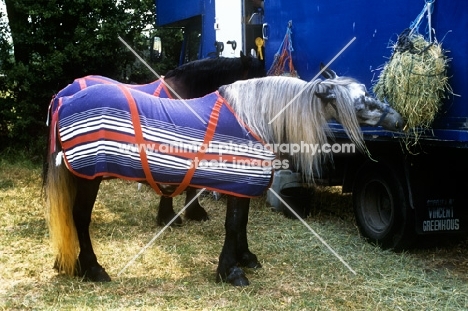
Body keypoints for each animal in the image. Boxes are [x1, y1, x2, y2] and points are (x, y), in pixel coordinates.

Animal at [43, 73, 402, 288]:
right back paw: (93, 269)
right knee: (80, 219)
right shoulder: (239, 181)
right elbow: (232, 224)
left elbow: (241, 223)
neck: (253, 119)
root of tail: (65, 98)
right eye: (361, 101)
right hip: (90, 178)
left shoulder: (241, 185)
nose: (399, 119)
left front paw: (245, 258)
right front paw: (230, 271)